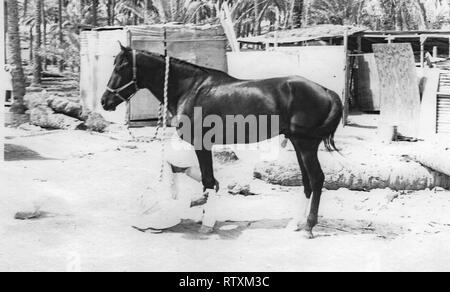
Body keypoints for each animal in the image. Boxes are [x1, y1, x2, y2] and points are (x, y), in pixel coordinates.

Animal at [101, 45, 342, 237]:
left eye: (121, 67)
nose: (104, 101)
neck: (190, 88)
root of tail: (326, 91)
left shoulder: (202, 144)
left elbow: (208, 180)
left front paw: (206, 224)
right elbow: (206, 180)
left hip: (306, 144)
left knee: (317, 179)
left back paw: (309, 227)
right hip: (298, 143)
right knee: (307, 181)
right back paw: (296, 224)